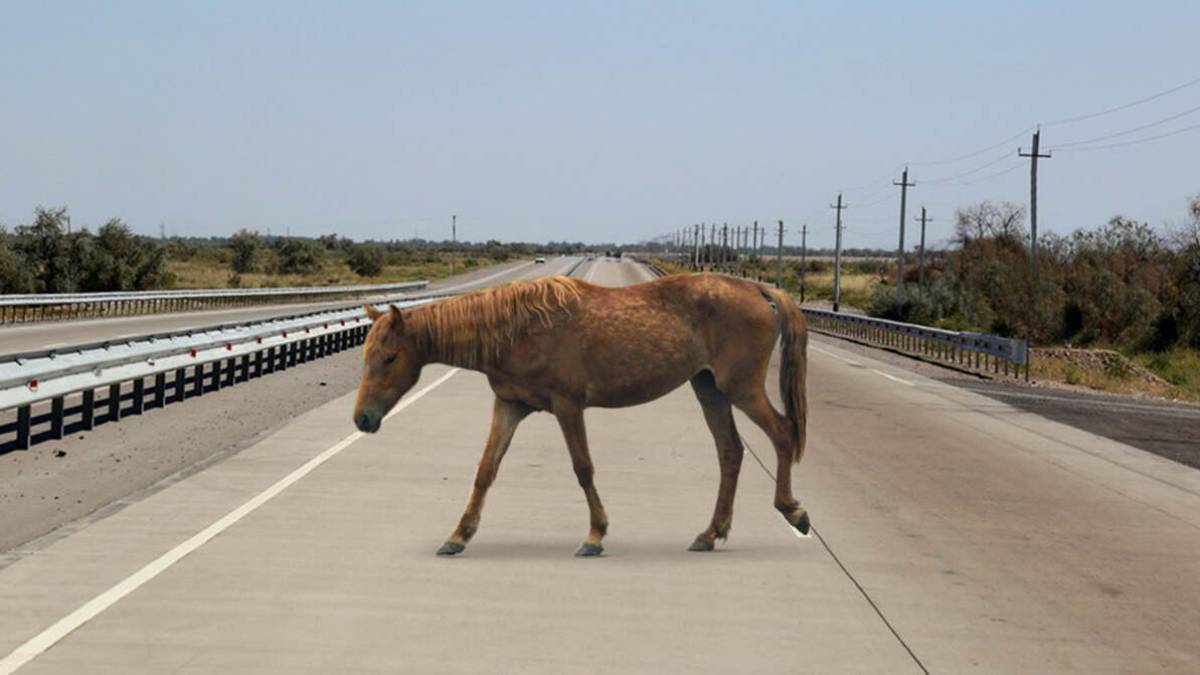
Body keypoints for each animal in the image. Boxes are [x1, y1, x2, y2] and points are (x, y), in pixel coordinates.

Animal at [350, 270, 811, 554]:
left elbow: (582, 467)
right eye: (367, 355)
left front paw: (595, 534)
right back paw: (710, 533)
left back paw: (793, 510)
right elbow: (486, 469)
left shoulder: (568, 406)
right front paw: (459, 535)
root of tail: (758, 290)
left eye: (389, 357)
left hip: (741, 388)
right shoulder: (509, 406)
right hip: (709, 388)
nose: (363, 419)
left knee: (782, 433)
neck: (517, 329)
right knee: (730, 452)